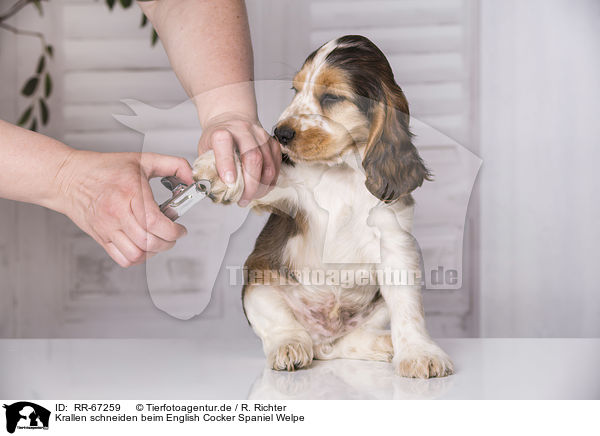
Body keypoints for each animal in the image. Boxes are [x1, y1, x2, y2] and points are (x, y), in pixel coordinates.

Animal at [195, 35, 452, 376]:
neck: (343, 170)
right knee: (286, 331)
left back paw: (384, 344)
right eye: (295, 90)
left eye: (331, 97)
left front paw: (420, 353)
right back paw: (290, 346)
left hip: (373, 308)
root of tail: (323, 336)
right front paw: (219, 168)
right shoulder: (291, 193)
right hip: (258, 285)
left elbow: (408, 308)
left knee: (344, 343)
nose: (279, 134)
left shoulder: (394, 243)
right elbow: (265, 176)